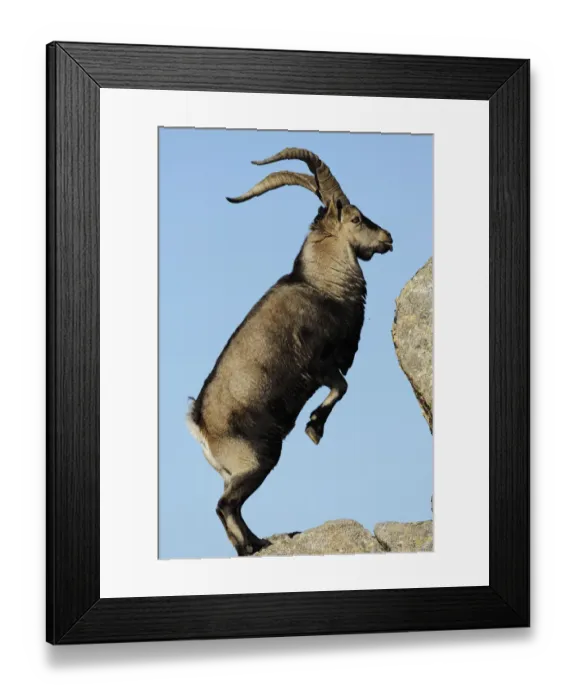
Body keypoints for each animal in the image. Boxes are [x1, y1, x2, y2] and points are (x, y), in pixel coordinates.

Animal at [186, 148, 393, 556]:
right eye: (356, 217)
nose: (387, 238)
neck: (321, 285)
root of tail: (199, 424)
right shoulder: (320, 365)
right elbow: (342, 388)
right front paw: (314, 427)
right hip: (258, 460)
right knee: (225, 506)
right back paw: (249, 547)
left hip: (236, 471)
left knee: (232, 506)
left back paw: (258, 541)